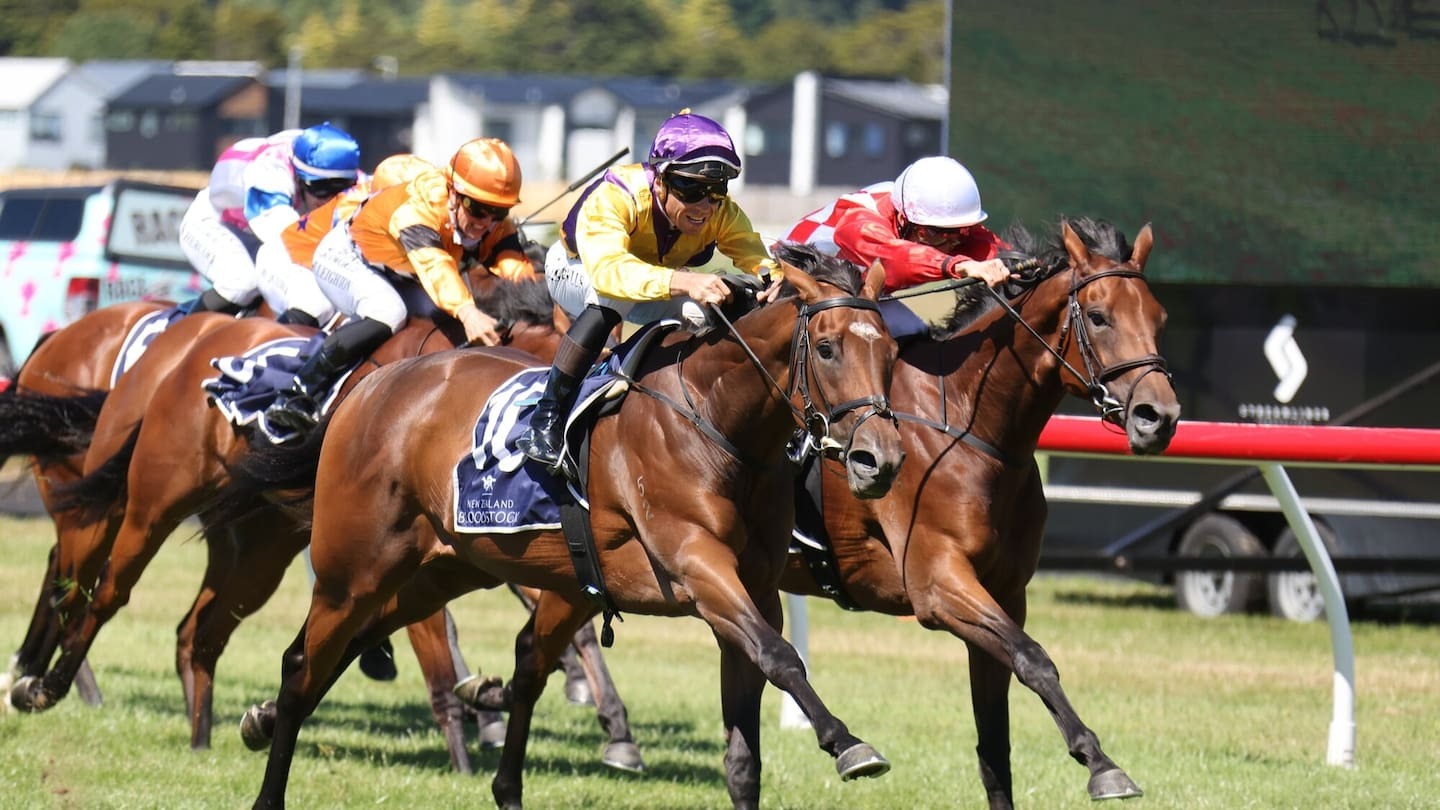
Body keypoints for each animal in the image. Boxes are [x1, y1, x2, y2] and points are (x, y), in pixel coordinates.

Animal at [229, 243, 905, 809]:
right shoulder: (697, 566)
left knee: (361, 651)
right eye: (827, 348)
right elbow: (782, 656)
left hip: (437, 571)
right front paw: (847, 743)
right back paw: (268, 781)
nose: (881, 458)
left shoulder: (754, 592)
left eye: (892, 354)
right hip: (353, 569)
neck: (714, 420)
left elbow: (745, 751)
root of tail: (367, 388)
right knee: (303, 664)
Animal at [779, 217, 1181, 808]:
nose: (1160, 418)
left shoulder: (1005, 592)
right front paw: (1102, 765)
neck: (969, 424)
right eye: (1100, 316)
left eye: (1159, 318)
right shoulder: (938, 586)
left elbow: (995, 736)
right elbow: (1036, 660)